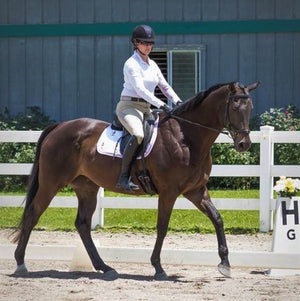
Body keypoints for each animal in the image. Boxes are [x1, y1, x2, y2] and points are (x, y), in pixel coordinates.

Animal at [12, 80, 258, 278]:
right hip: (51, 183)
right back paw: (21, 263)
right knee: (33, 214)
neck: (186, 137)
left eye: (250, 107)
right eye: (235, 107)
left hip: (87, 188)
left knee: (82, 224)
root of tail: (59, 126)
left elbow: (217, 219)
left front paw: (225, 264)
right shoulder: (169, 192)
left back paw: (105, 268)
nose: (244, 144)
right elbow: (162, 227)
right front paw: (158, 267)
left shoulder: (196, 191)